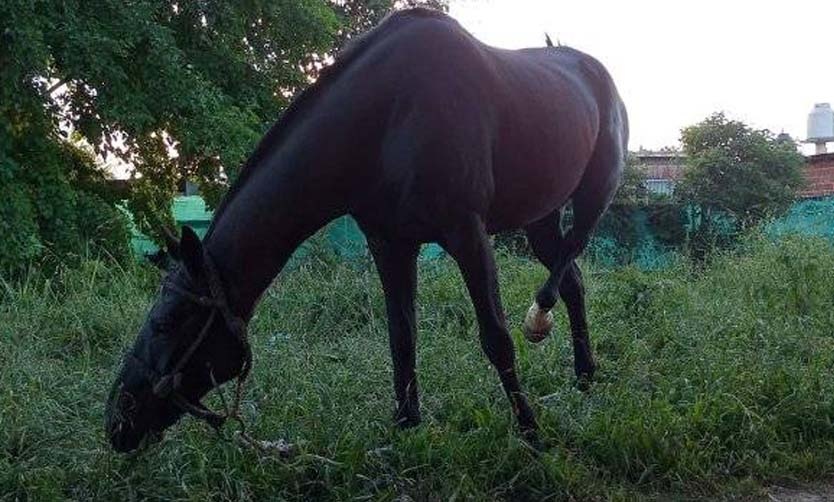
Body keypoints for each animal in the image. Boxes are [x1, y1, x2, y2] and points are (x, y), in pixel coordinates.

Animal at [104, 7, 624, 452]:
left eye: (168, 321)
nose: (117, 420)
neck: (386, 117)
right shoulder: (389, 243)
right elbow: (401, 337)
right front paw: (405, 427)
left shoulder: (467, 234)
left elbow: (496, 338)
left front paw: (532, 433)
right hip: (540, 215)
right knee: (573, 280)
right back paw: (583, 375)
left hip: (595, 194)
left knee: (567, 262)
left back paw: (541, 320)